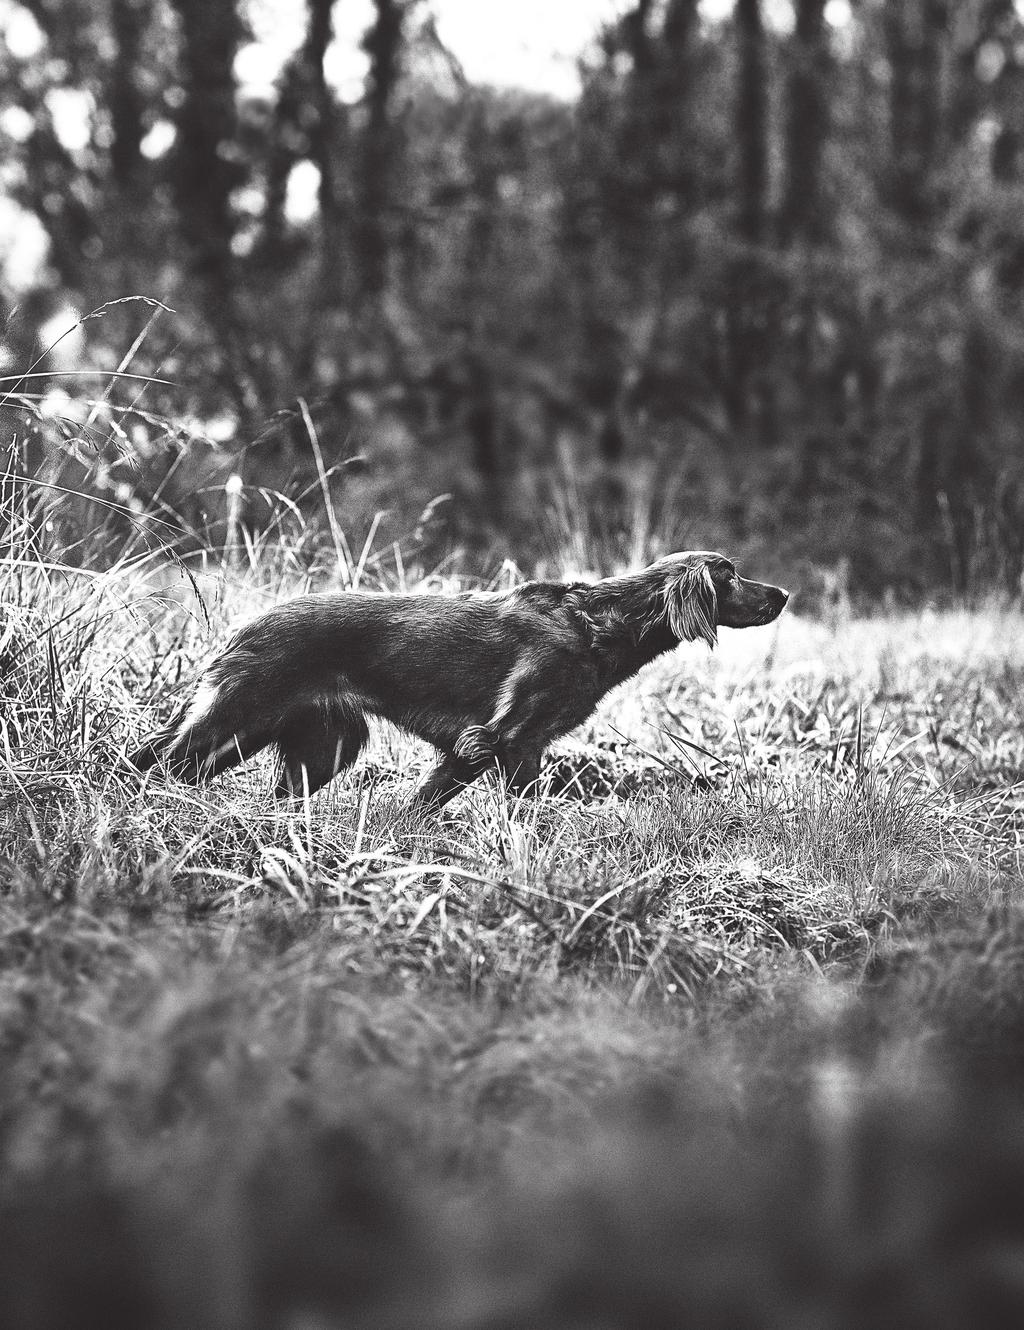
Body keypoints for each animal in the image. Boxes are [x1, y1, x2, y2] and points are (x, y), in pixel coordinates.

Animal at [131, 553, 787, 803]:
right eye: (730, 575)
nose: (783, 594)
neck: (597, 624)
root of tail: (246, 625)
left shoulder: (473, 749)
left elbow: (422, 802)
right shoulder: (511, 738)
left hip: (326, 744)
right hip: (237, 718)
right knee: (151, 760)